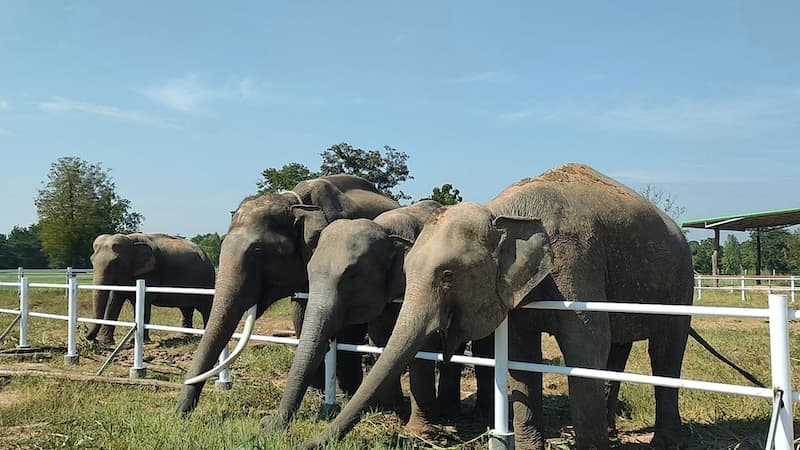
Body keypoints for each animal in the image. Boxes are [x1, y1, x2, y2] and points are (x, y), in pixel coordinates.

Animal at [86, 233, 216, 345]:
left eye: (116, 262)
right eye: (91, 260)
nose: (92, 339)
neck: (131, 240)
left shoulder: (149, 274)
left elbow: (143, 303)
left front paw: (137, 342)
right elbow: (114, 301)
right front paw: (106, 342)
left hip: (207, 281)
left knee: (206, 308)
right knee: (186, 309)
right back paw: (184, 336)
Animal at [261, 199, 465, 435]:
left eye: (351, 276)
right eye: (309, 272)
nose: (265, 422)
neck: (385, 229)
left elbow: (422, 346)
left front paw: (420, 429)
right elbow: (379, 338)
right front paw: (391, 410)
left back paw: (450, 413)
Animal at [306, 163, 696, 450]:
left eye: (448, 275)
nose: (312, 439)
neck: (503, 213)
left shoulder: (577, 262)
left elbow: (586, 348)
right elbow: (522, 356)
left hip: (681, 280)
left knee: (665, 351)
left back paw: (666, 442)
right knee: (621, 348)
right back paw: (615, 430)